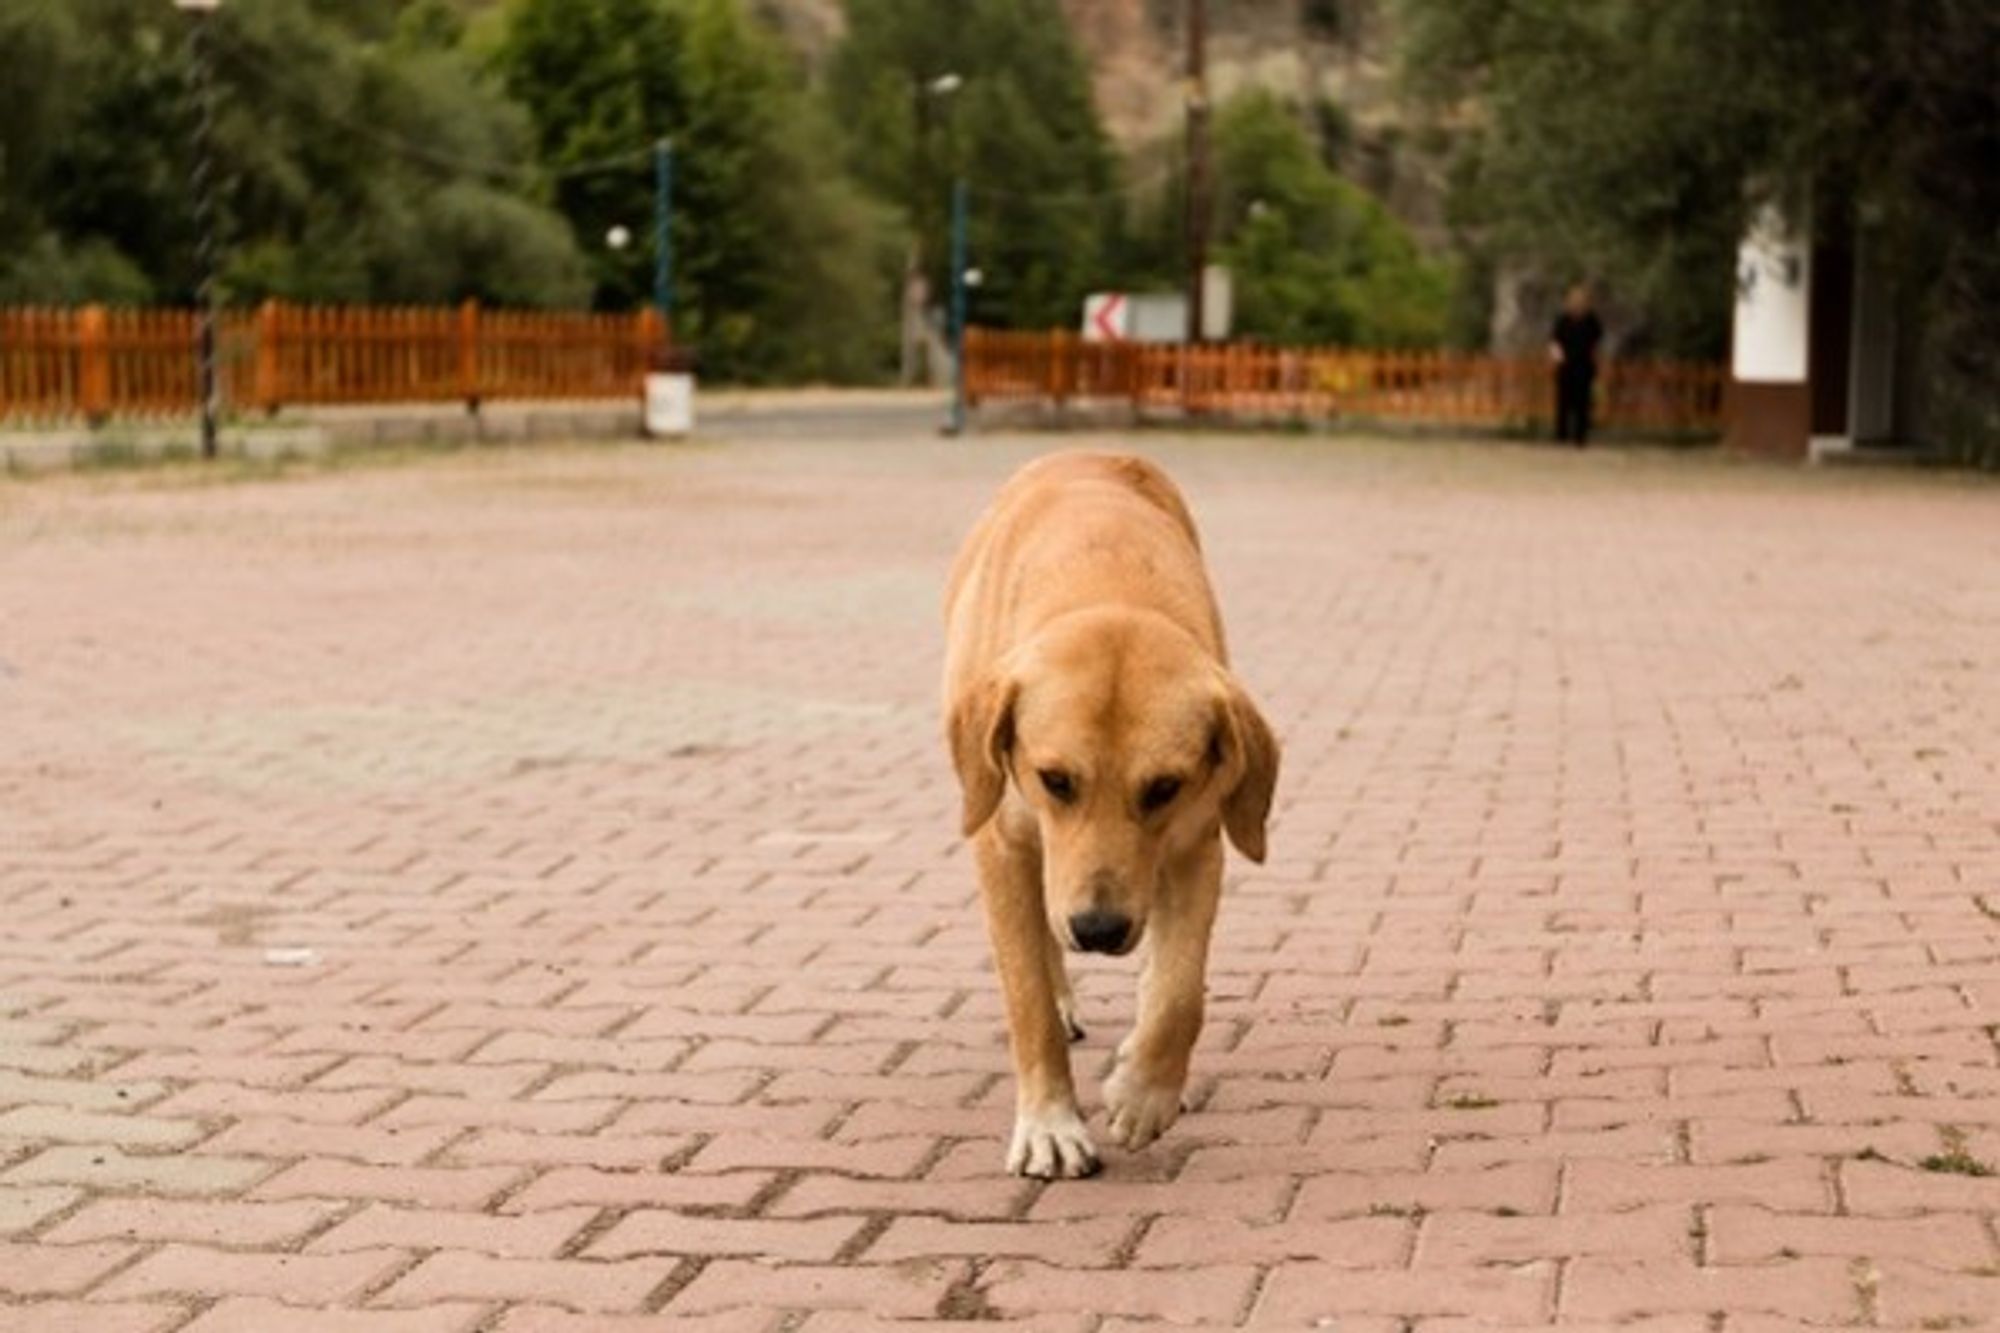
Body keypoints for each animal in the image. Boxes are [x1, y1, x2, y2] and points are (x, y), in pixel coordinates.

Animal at [940, 448, 1280, 1176]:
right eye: (1055, 779)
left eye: (1164, 786)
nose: (1098, 928)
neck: (1107, 587)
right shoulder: (1003, 843)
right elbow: (1028, 998)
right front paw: (1049, 1122)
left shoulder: (1197, 843)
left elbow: (1181, 991)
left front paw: (1147, 1091)